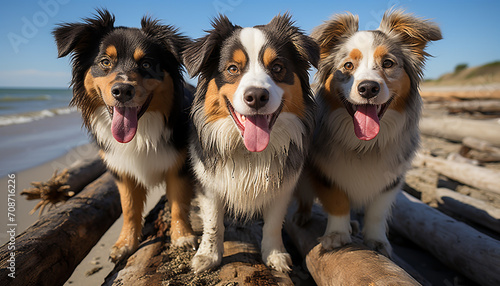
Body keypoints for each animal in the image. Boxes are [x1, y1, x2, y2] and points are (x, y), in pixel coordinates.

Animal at [53, 10, 197, 262]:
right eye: (105, 62)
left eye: (146, 63)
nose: (122, 91)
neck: (140, 133)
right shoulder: (122, 169)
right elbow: (129, 208)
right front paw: (125, 243)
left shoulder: (179, 165)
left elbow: (179, 203)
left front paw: (182, 236)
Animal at [183, 13, 316, 272]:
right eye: (233, 68)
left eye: (277, 67)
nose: (256, 96)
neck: (249, 151)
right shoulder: (209, 183)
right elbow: (213, 222)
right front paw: (208, 256)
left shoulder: (282, 184)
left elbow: (273, 222)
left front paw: (274, 254)